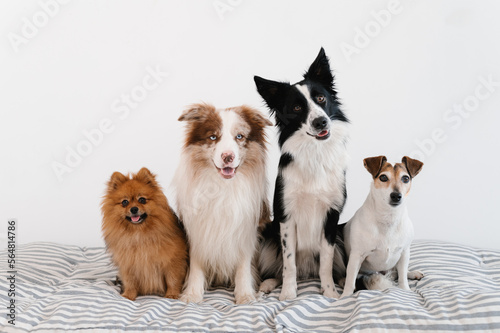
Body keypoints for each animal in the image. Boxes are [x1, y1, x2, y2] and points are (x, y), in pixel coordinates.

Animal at [101, 167, 188, 300]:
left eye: (142, 200)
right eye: (125, 202)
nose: (134, 209)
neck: (139, 234)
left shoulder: (172, 261)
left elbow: (172, 280)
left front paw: (172, 295)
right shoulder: (128, 264)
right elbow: (130, 282)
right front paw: (128, 295)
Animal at [174, 102, 272, 302]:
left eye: (239, 136)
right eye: (213, 136)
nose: (228, 157)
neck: (221, 186)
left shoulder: (247, 229)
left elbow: (244, 264)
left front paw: (245, 295)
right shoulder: (197, 228)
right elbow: (196, 262)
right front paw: (192, 293)